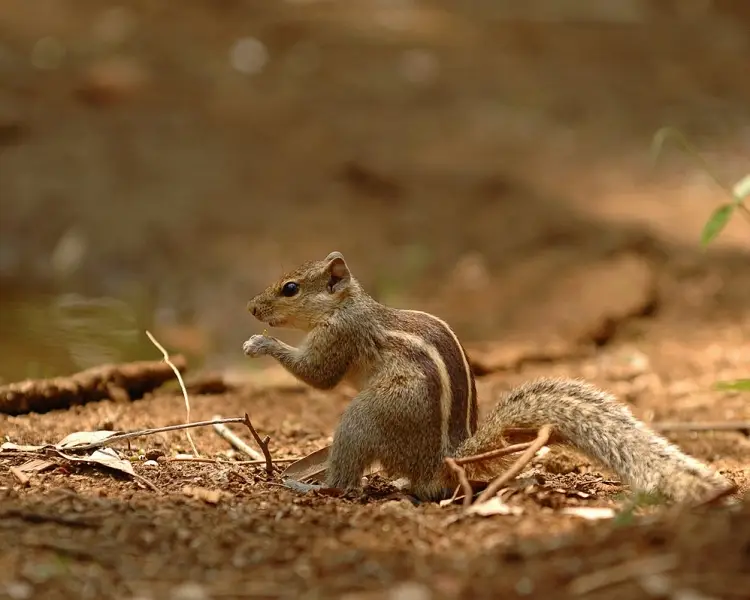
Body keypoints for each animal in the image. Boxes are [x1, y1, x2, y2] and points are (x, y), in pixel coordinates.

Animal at [242, 251, 736, 505]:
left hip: (367, 416)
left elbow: (319, 376)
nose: (251, 308)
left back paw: (307, 484)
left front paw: (259, 344)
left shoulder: (340, 336)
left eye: (290, 288)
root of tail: (445, 458)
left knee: (347, 481)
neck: (347, 304)